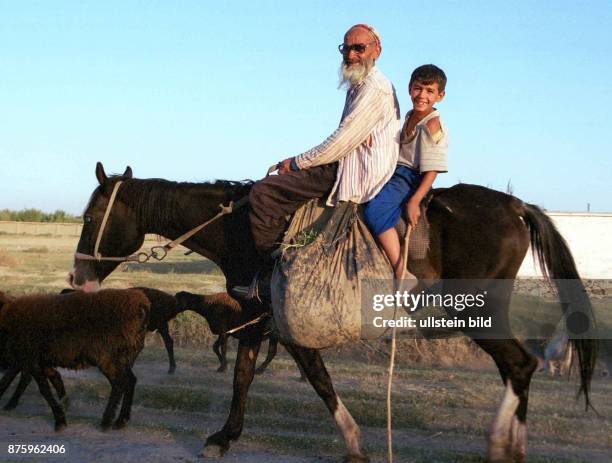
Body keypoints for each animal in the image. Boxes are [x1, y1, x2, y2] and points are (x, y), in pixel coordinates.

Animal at [0, 290, 149, 432]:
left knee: (119, 384)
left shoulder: (30, 359)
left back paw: (106, 422)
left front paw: (60, 421)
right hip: (122, 359)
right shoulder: (40, 361)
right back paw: (121, 421)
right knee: (130, 381)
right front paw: (64, 405)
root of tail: (140, 304)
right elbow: (54, 379)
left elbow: (43, 389)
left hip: (108, 357)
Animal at [68, 164, 596, 463]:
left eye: (91, 218)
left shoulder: (283, 323)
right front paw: (225, 436)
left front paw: (354, 443)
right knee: (517, 368)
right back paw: (514, 443)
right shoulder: (257, 318)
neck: (243, 230)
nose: (77, 278)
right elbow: (244, 376)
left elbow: (317, 381)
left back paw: (500, 444)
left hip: (477, 314)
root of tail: (517, 206)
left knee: (520, 364)